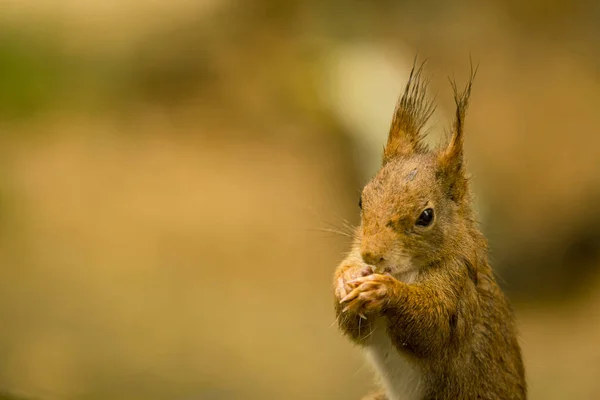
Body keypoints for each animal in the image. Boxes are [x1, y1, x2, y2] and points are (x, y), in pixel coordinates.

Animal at [332, 60, 524, 400]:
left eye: (426, 216)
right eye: (361, 199)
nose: (371, 255)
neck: (404, 271)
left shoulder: (459, 287)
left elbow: (431, 328)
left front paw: (385, 291)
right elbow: (356, 328)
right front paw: (346, 279)